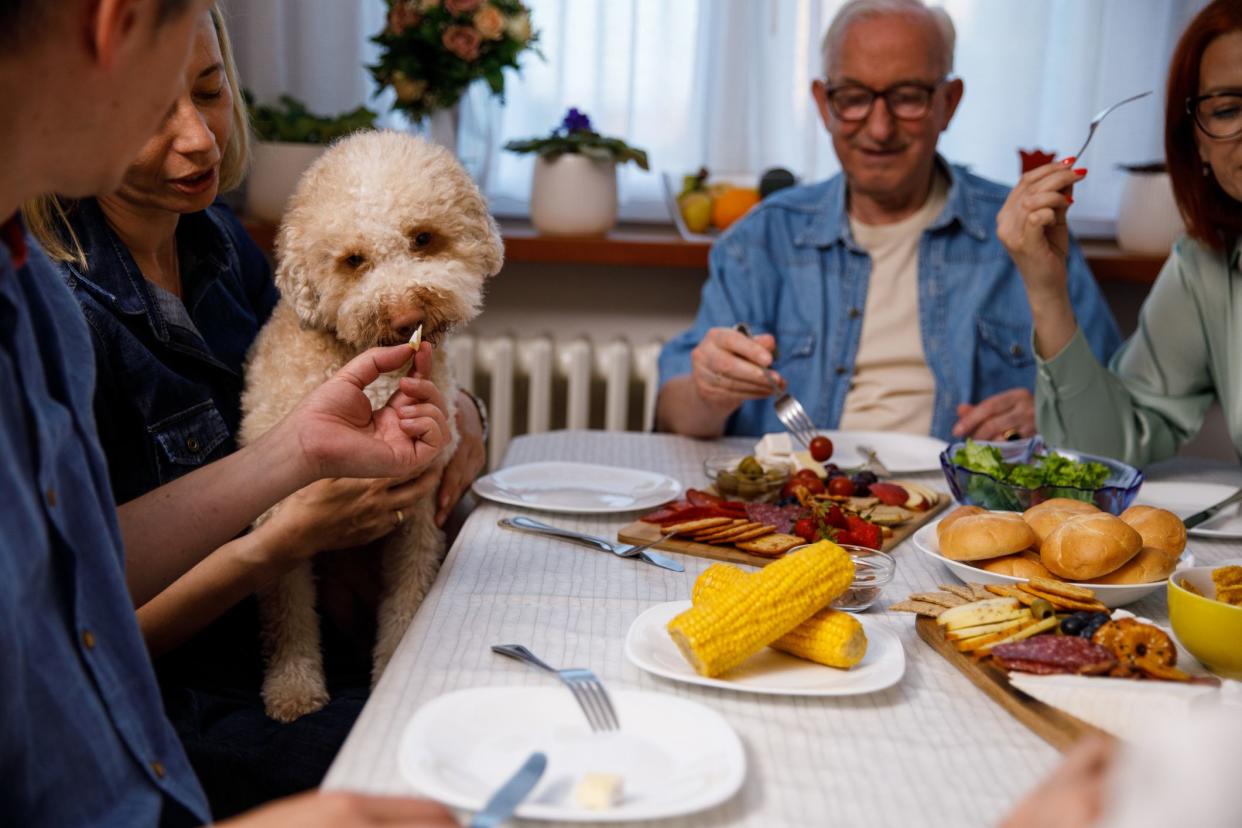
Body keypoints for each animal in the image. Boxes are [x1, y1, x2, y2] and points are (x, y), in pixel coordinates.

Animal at [237, 132, 499, 720]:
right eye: (353, 260)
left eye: (423, 238)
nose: (406, 317)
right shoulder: (279, 516)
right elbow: (289, 613)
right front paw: (293, 688)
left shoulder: (421, 513)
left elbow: (408, 600)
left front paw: (392, 673)